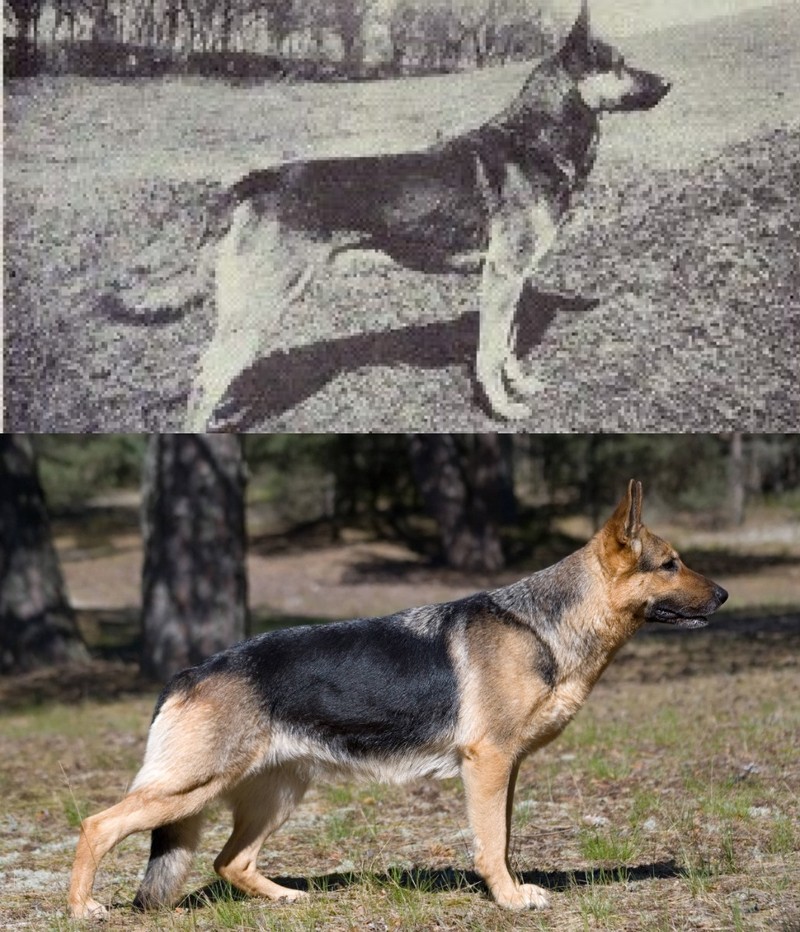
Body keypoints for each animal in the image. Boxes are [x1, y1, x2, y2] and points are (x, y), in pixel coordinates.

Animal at [72, 480, 728, 916]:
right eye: (671, 565)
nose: (723, 595)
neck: (543, 625)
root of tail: (188, 671)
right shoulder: (488, 764)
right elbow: (491, 844)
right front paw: (510, 900)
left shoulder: (506, 769)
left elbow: (502, 836)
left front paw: (509, 890)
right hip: (189, 788)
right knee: (97, 825)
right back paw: (82, 909)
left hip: (276, 795)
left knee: (230, 861)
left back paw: (288, 897)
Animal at [115, 0, 672, 428]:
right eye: (619, 64)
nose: (668, 83)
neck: (535, 140)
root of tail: (256, 180)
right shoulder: (501, 276)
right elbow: (489, 352)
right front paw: (502, 408)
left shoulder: (513, 279)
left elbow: (509, 344)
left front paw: (521, 385)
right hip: (258, 309)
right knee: (205, 379)